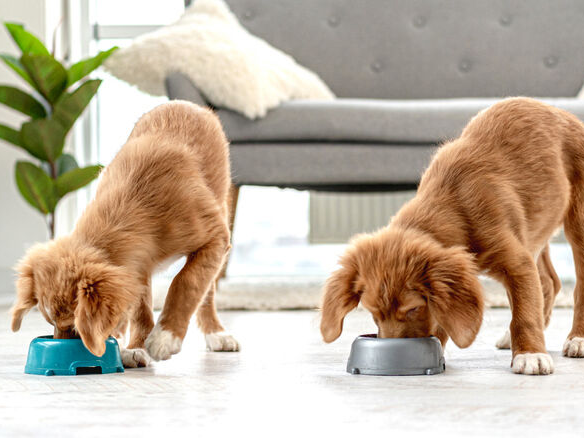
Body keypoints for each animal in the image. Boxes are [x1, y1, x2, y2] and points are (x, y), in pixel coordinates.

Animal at [10, 100, 237, 366]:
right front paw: (135, 348)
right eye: (50, 321)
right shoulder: (139, 263)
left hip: (221, 209)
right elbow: (140, 308)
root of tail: (186, 104)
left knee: (207, 290)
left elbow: (187, 282)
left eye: (74, 327)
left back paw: (216, 333)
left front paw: (165, 337)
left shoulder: (216, 237)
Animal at [320, 97, 584, 374]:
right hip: (537, 227)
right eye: (373, 312)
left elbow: (524, 313)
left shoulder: (516, 262)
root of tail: (562, 113)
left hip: (578, 219)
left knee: (578, 285)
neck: (454, 204)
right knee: (549, 282)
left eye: (413, 308)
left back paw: (577, 339)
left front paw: (531, 354)